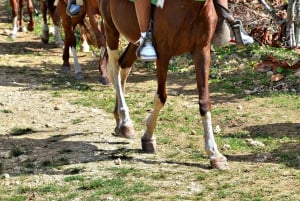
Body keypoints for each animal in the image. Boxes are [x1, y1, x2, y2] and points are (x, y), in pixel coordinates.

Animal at [98, 0, 234, 170]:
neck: (190, 6)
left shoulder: (202, 50)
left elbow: (204, 102)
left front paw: (214, 154)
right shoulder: (163, 53)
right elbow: (161, 97)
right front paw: (148, 137)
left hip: (134, 38)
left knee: (124, 66)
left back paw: (120, 120)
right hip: (111, 28)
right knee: (114, 69)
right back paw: (125, 122)